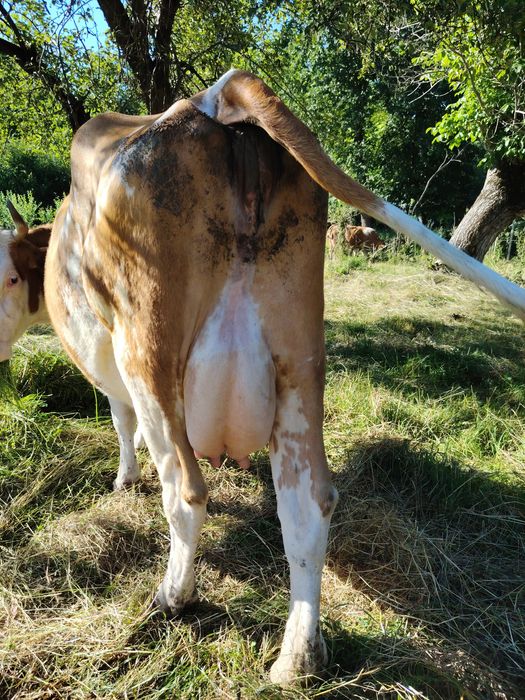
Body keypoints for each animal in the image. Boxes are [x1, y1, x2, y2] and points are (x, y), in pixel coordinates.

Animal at [4, 70, 525, 685]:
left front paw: (124, 480)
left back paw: (172, 596)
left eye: (9, 277)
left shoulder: (111, 369)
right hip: (298, 356)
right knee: (309, 500)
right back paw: (297, 659)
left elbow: (120, 423)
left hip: (148, 351)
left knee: (185, 489)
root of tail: (212, 98)